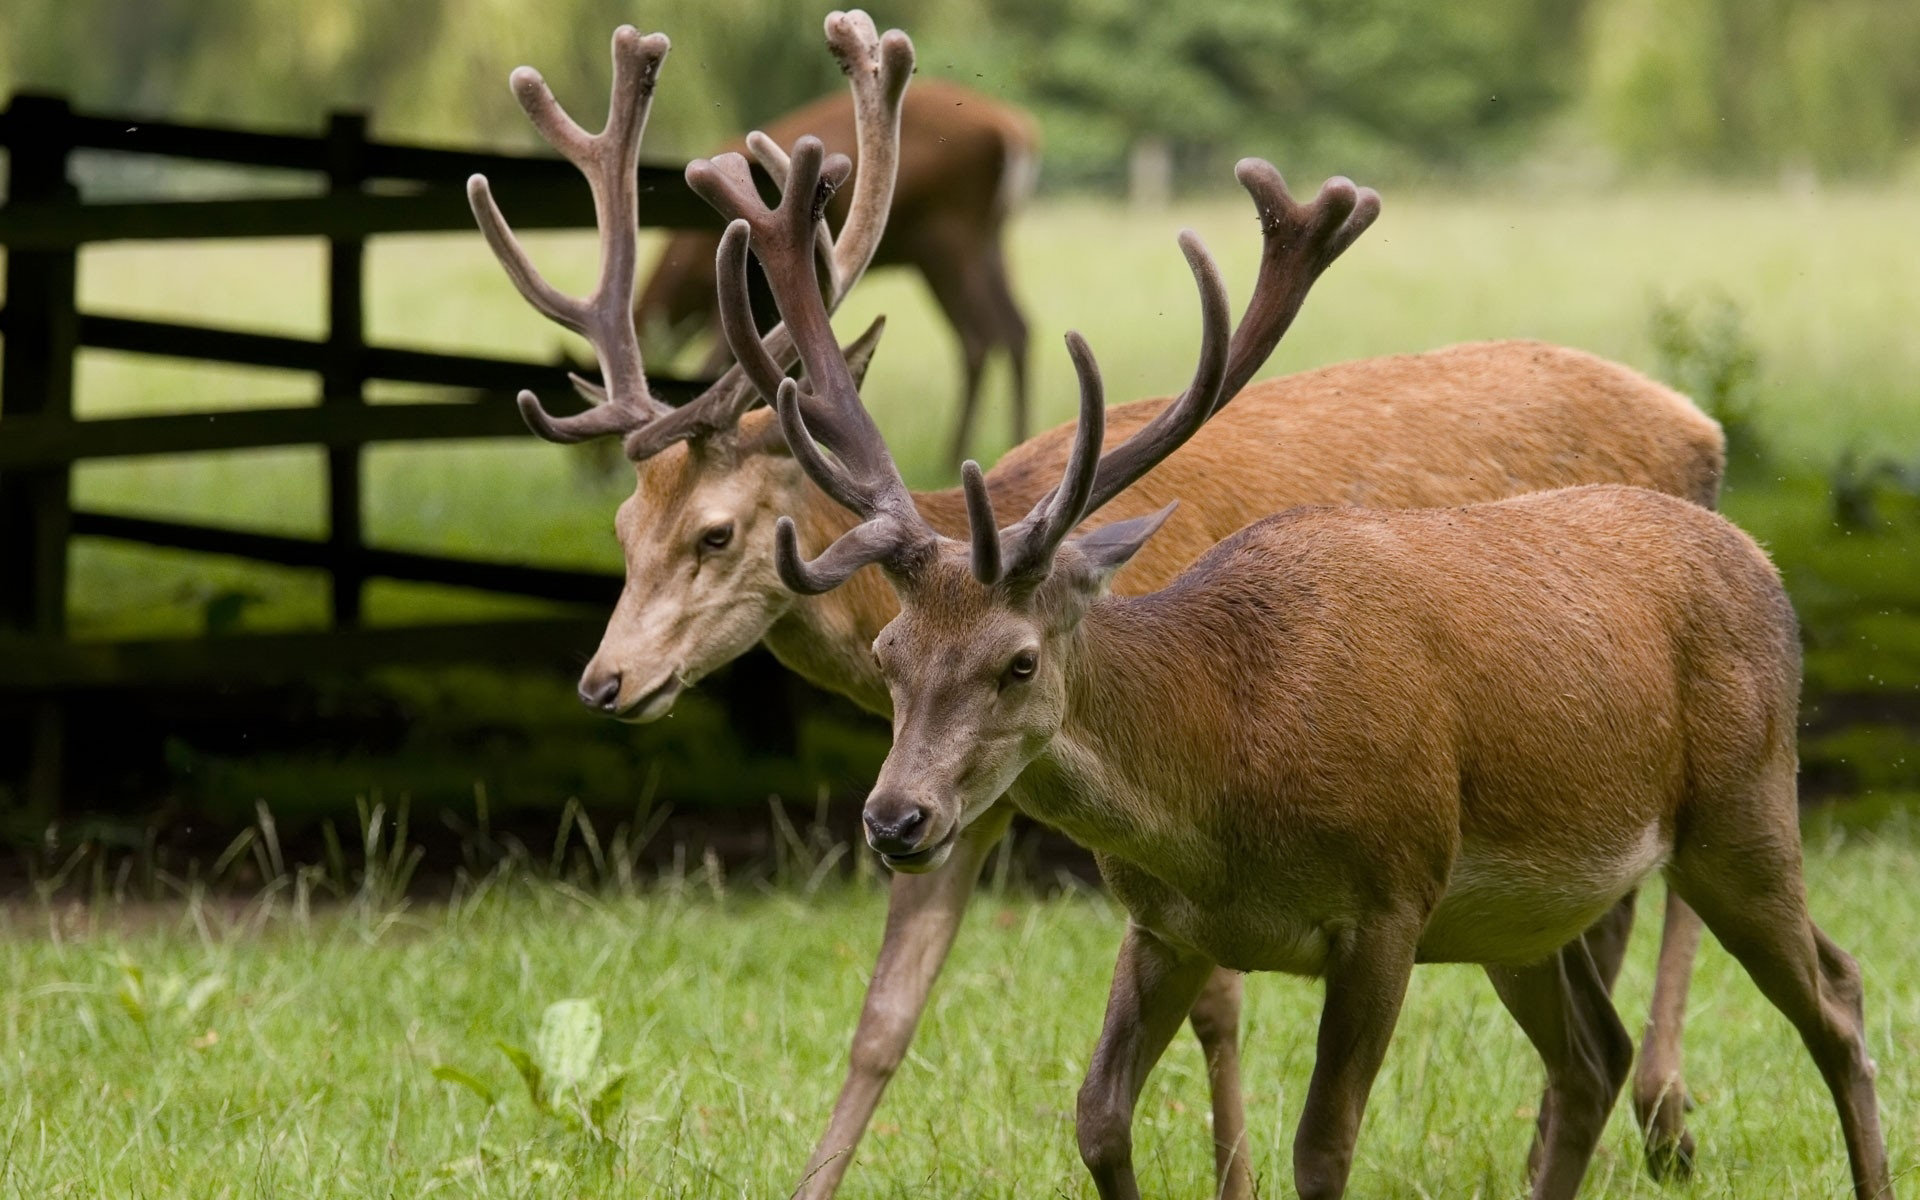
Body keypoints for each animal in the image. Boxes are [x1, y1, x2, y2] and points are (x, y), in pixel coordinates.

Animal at [637, 79, 1036, 468]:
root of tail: (1015, 132)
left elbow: (717, 360)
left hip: (948, 235)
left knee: (978, 335)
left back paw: (952, 458)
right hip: (989, 237)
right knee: (1016, 326)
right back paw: (1015, 442)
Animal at [702, 130, 1889, 1198]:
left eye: (1019, 661)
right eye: (892, 653)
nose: (894, 819)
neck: (1223, 777)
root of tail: (1762, 559)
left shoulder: (1390, 902)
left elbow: (1321, 1149)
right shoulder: (1165, 924)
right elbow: (1097, 1118)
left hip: (1743, 807)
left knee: (1836, 992)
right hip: (1524, 920)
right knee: (1591, 1058)